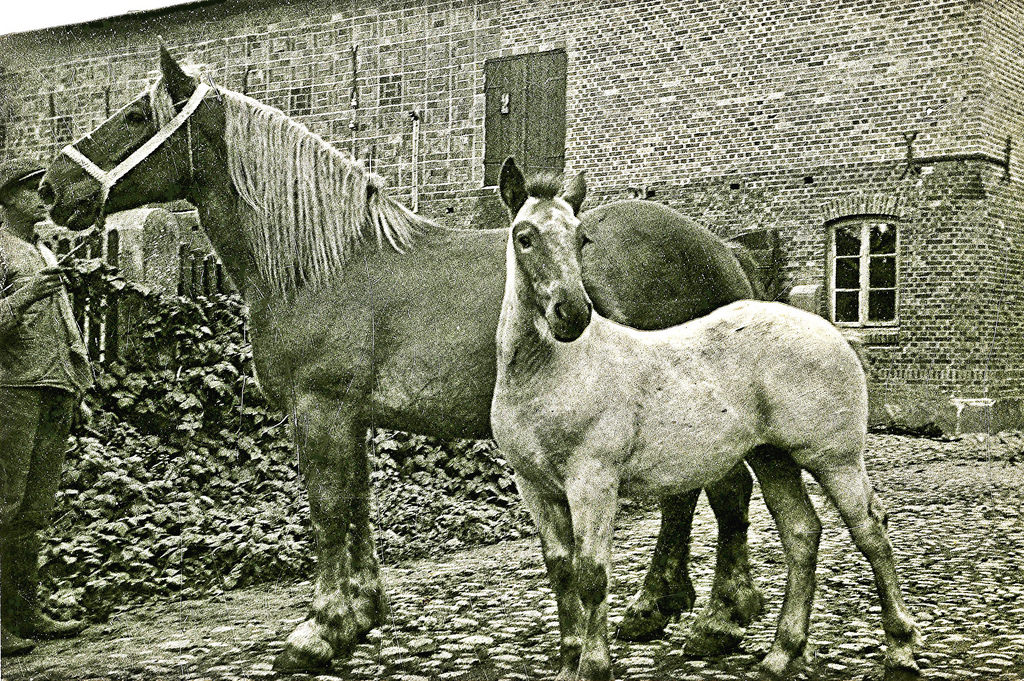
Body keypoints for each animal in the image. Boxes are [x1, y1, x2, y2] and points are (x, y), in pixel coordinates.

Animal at [39, 47, 761, 667]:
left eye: (137, 116)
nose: (49, 187)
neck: (324, 264)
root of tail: (719, 249)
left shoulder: (320, 410)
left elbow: (328, 510)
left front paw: (319, 629)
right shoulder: (348, 416)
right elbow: (357, 504)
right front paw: (358, 615)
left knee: (725, 493)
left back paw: (719, 620)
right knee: (685, 497)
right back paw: (654, 607)